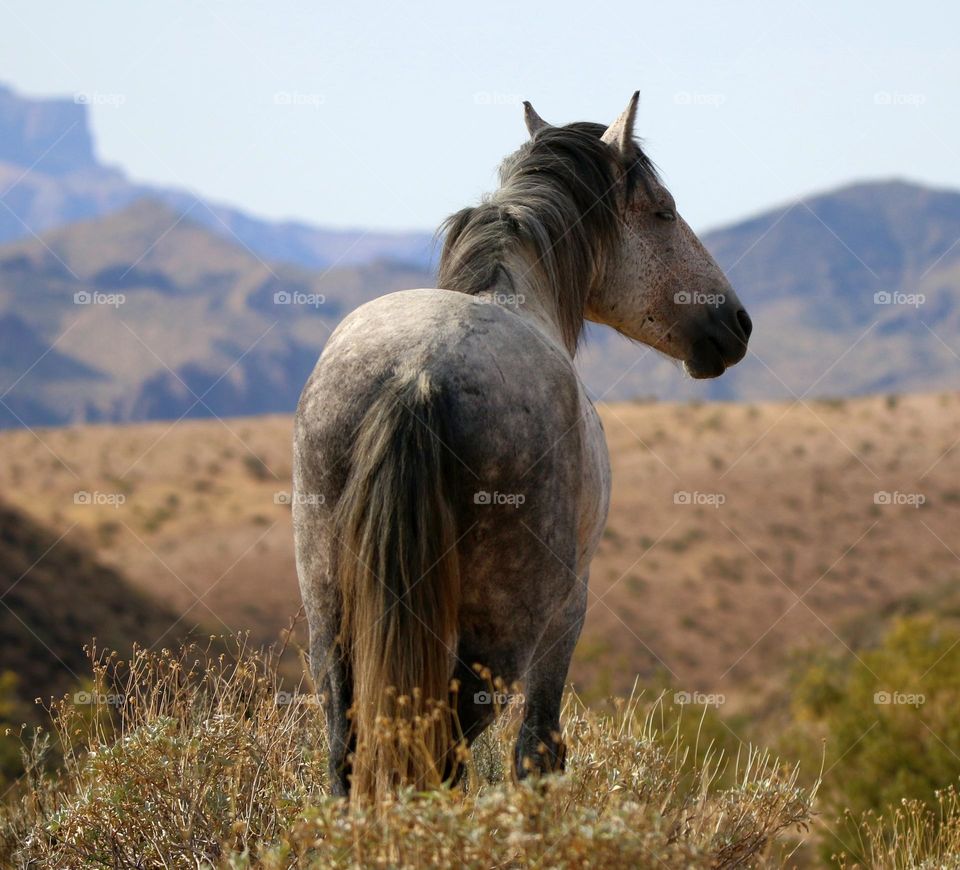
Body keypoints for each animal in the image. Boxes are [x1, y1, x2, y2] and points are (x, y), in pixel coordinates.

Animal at [292, 92, 752, 802]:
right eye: (663, 210)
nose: (735, 324)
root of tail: (416, 373)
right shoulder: (569, 608)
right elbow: (539, 750)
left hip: (330, 618)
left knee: (348, 756)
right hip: (505, 633)